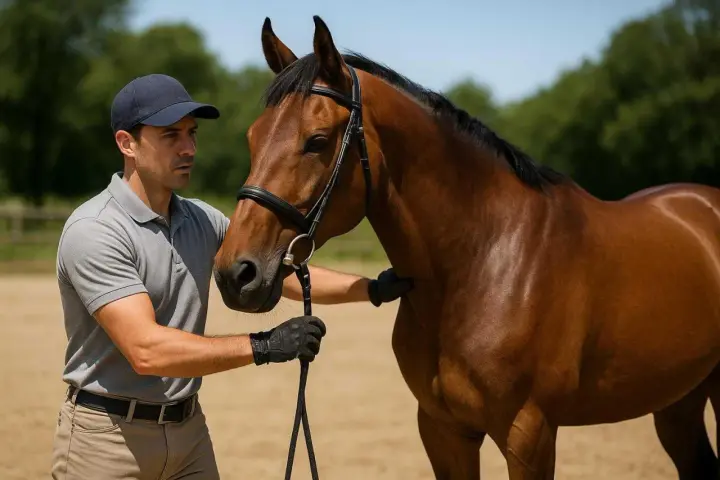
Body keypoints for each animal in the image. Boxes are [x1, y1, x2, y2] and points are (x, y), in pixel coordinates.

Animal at [213, 15, 720, 479]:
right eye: (252, 137)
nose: (236, 274)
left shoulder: (529, 434)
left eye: (316, 141)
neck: (483, 264)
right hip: (677, 400)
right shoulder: (443, 430)